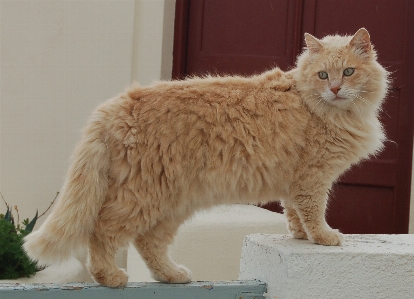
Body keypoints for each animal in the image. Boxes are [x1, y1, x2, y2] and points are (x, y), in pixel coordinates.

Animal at [25, 28, 388, 288]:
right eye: (323, 75)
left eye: (349, 72)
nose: (336, 89)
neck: (324, 109)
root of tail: (115, 104)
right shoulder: (314, 177)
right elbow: (314, 212)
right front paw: (324, 237)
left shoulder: (296, 181)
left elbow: (294, 213)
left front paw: (300, 236)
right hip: (144, 197)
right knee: (102, 231)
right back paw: (111, 277)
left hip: (172, 203)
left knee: (147, 242)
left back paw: (171, 275)